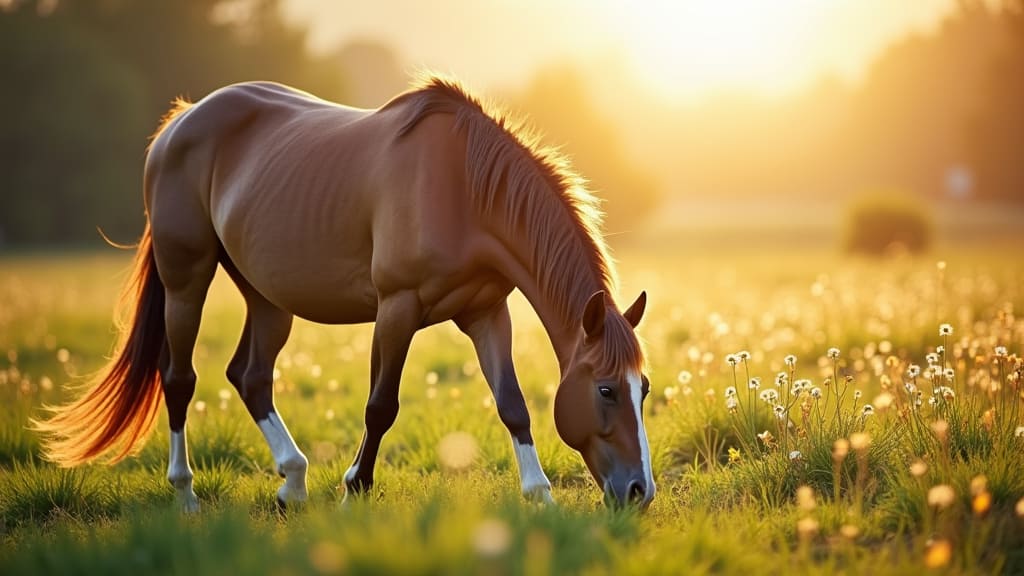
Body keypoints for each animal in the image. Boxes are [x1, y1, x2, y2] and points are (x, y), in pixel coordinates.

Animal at [33, 76, 654, 510]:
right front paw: (356, 485)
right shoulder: (398, 307)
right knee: (179, 378)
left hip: (268, 297)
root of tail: (180, 121)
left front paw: (539, 494)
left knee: (250, 376)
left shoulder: (485, 312)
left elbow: (512, 404)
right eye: (605, 390)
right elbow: (382, 405)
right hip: (187, 278)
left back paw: (293, 482)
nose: (638, 492)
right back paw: (185, 493)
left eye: (643, 388)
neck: (464, 191)